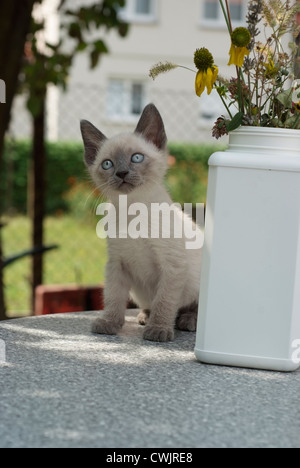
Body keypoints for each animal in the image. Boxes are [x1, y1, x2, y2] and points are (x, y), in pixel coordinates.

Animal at [80, 104, 202, 342]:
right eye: (107, 164)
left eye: (136, 158)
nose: (122, 173)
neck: (133, 211)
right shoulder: (116, 263)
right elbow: (113, 297)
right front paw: (109, 323)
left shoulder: (172, 265)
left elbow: (165, 301)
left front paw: (159, 330)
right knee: (149, 304)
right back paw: (145, 316)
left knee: (191, 307)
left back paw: (188, 320)